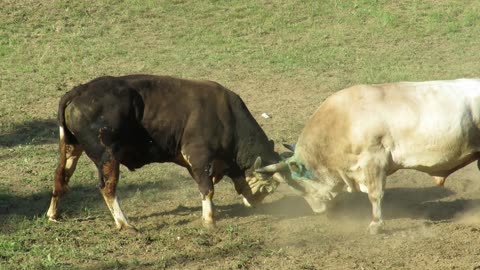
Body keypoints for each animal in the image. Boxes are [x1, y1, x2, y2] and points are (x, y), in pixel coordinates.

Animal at [47, 75, 280, 231]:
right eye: (269, 186)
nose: (258, 202)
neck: (227, 117)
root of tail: (80, 90)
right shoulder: (200, 157)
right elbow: (207, 189)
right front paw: (209, 220)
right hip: (108, 157)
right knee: (108, 188)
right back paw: (125, 224)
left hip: (71, 148)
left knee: (61, 177)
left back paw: (53, 214)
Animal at [260, 78, 480, 234]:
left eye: (300, 186)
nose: (318, 211)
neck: (343, 120)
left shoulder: (375, 160)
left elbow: (375, 194)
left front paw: (376, 224)